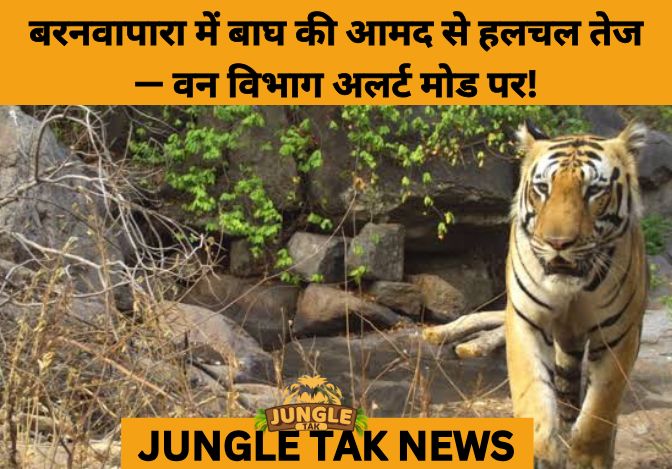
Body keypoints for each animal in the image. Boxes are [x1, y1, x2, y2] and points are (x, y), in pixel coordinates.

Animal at [505, 121, 649, 468]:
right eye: (543, 188)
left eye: (594, 190)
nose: (558, 243)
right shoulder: (526, 320)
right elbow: (532, 391)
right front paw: (542, 450)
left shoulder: (618, 336)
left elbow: (600, 407)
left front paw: (588, 456)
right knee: (566, 396)